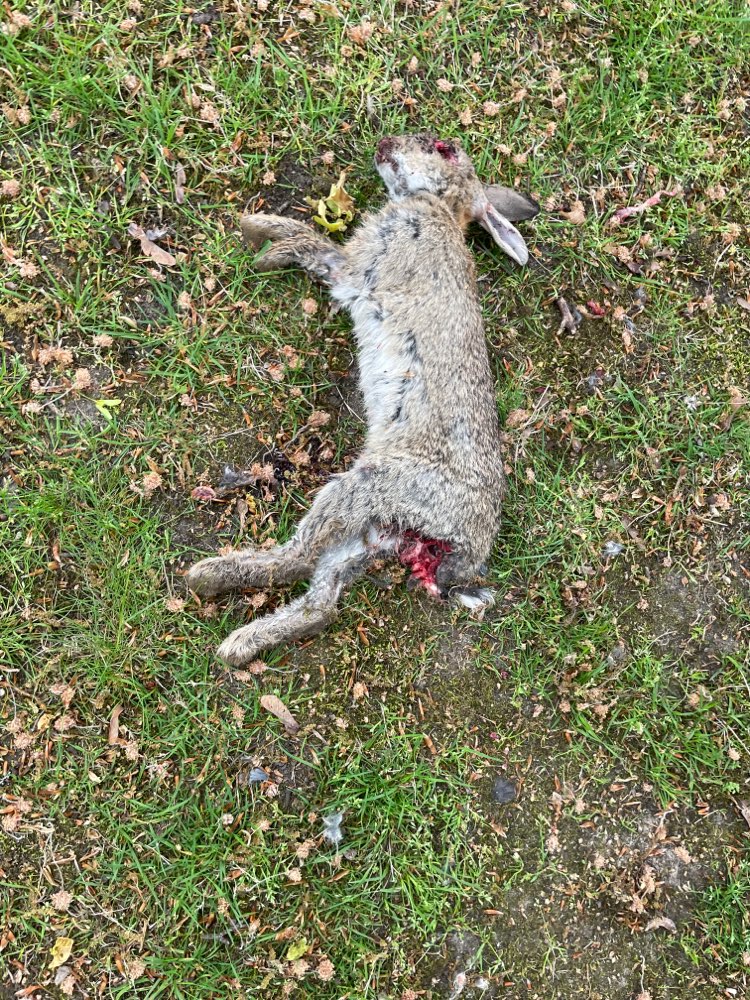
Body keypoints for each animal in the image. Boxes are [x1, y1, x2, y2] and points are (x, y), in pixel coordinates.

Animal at [187, 133, 538, 665]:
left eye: (442, 147)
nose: (386, 142)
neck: (438, 204)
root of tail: (462, 546)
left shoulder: (362, 264)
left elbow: (315, 246)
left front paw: (261, 238)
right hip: (369, 533)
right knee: (321, 604)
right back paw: (239, 641)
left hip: (364, 490)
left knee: (298, 559)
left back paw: (208, 582)